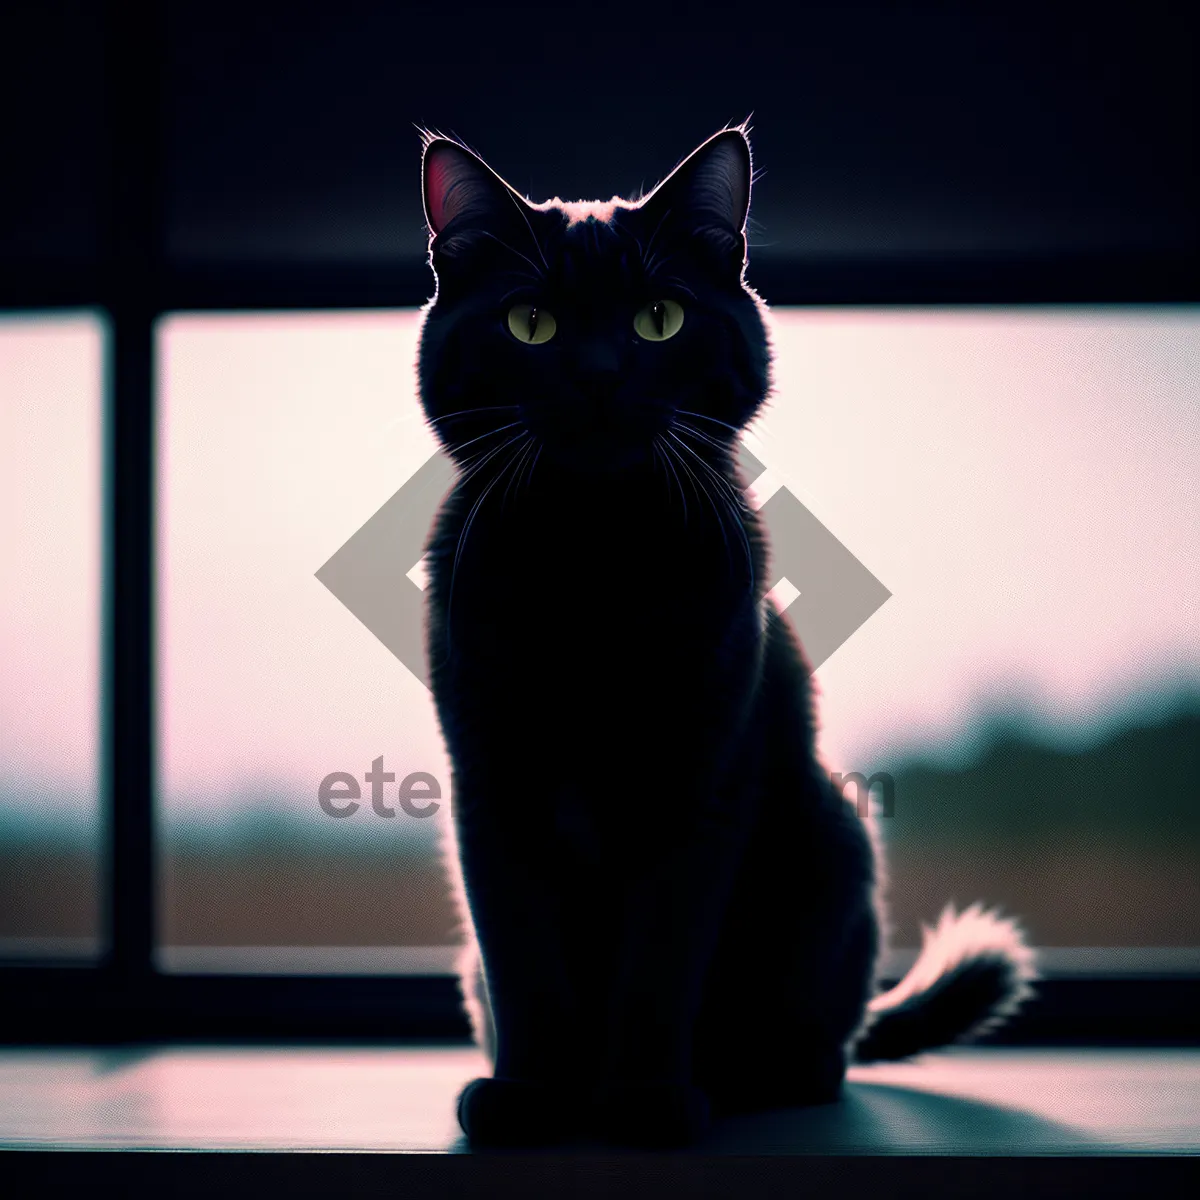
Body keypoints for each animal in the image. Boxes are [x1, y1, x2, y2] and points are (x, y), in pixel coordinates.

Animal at [412, 126, 1032, 1147]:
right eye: (530, 324)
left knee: (824, 1054)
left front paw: (645, 1103)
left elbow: (662, 958)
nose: (599, 376)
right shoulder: (492, 787)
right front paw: (530, 1097)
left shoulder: (702, 782)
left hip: (832, 843)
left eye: (659, 319)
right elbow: (525, 958)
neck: (592, 562)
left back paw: (749, 1077)